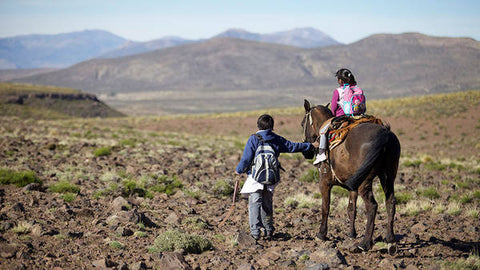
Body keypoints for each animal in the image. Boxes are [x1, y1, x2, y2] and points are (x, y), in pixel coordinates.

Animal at [304, 99, 402, 251]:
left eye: (303, 123)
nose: (307, 149)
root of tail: (385, 136)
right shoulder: (352, 187)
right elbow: (351, 209)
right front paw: (351, 234)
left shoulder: (324, 183)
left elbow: (325, 207)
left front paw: (321, 234)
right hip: (388, 176)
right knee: (390, 202)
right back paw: (390, 241)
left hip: (365, 182)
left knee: (372, 206)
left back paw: (364, 243)